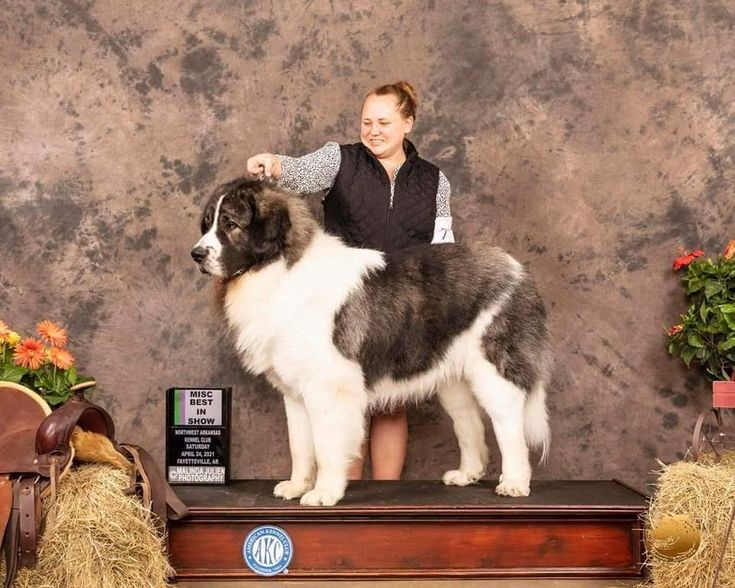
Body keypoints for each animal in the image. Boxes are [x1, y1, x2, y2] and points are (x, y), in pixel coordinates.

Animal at [191, 178, 552, 506]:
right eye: (208, 224)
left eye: (231, 224)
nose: (196, 254)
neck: (279, 269)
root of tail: (517, 270)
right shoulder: (294, 391)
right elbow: (300, 445)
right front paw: (296, 486)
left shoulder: (328, 387)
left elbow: (325, 444)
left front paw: (323, 493)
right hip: (454, 382)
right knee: (470, 424)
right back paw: (467, 474)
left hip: (494, 372)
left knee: (510, 426)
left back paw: (514, 483)